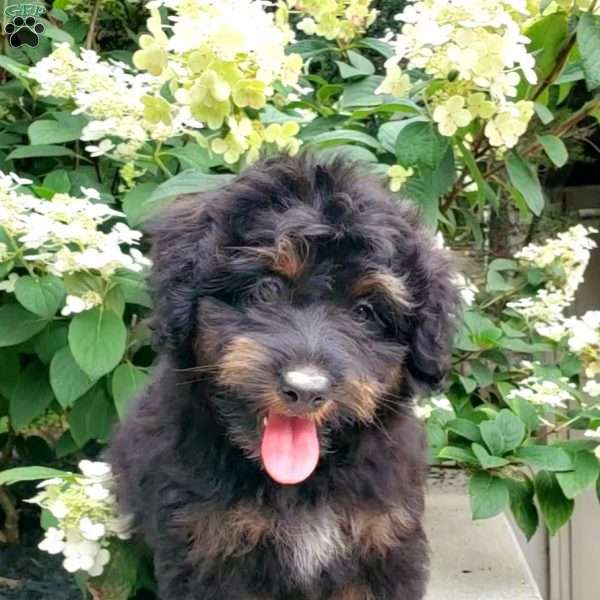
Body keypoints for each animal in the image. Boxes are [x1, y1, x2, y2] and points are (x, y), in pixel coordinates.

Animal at [108, 155, 458, 600]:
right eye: (267, 289)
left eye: (365, 312)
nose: (305, 390)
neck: (297, 485)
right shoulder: (207, 548)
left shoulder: (381, 540)